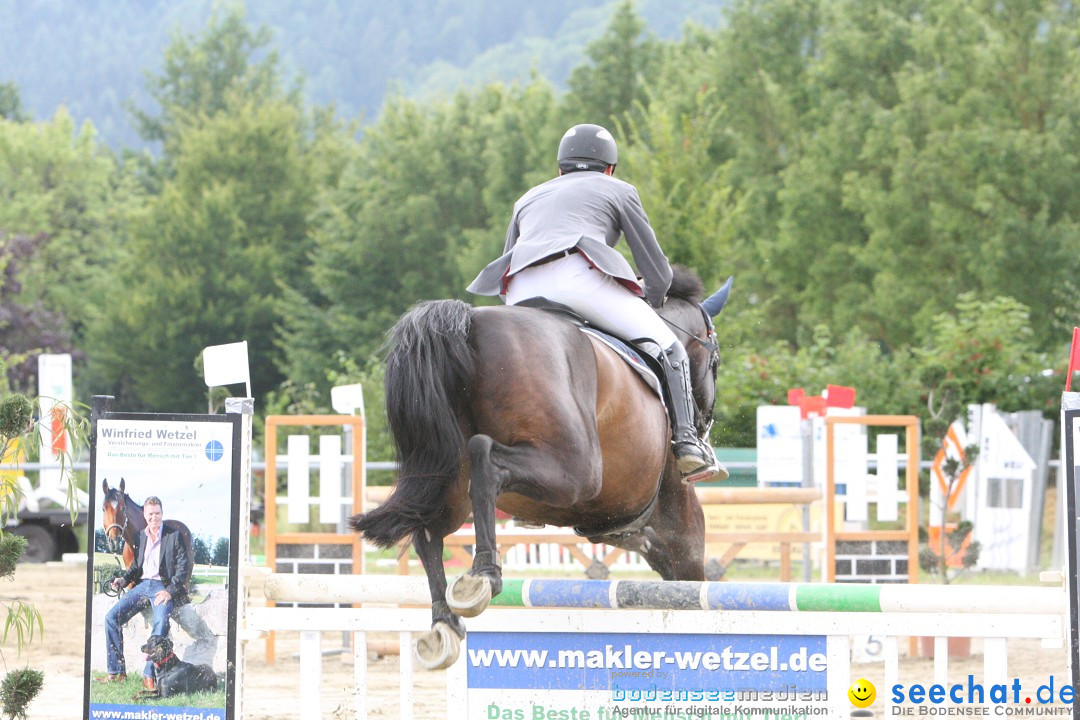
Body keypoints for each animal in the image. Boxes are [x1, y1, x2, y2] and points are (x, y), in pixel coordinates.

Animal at [349, 264, 730, 669]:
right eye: (715, 362)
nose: (703, 426)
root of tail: (470, 322)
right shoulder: (679, 526)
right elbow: (690, 585)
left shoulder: (621, 525)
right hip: (574, 472)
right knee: (485, 460)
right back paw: (485, 574)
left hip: (445, 476)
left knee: (426, 528)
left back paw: (445, 623)